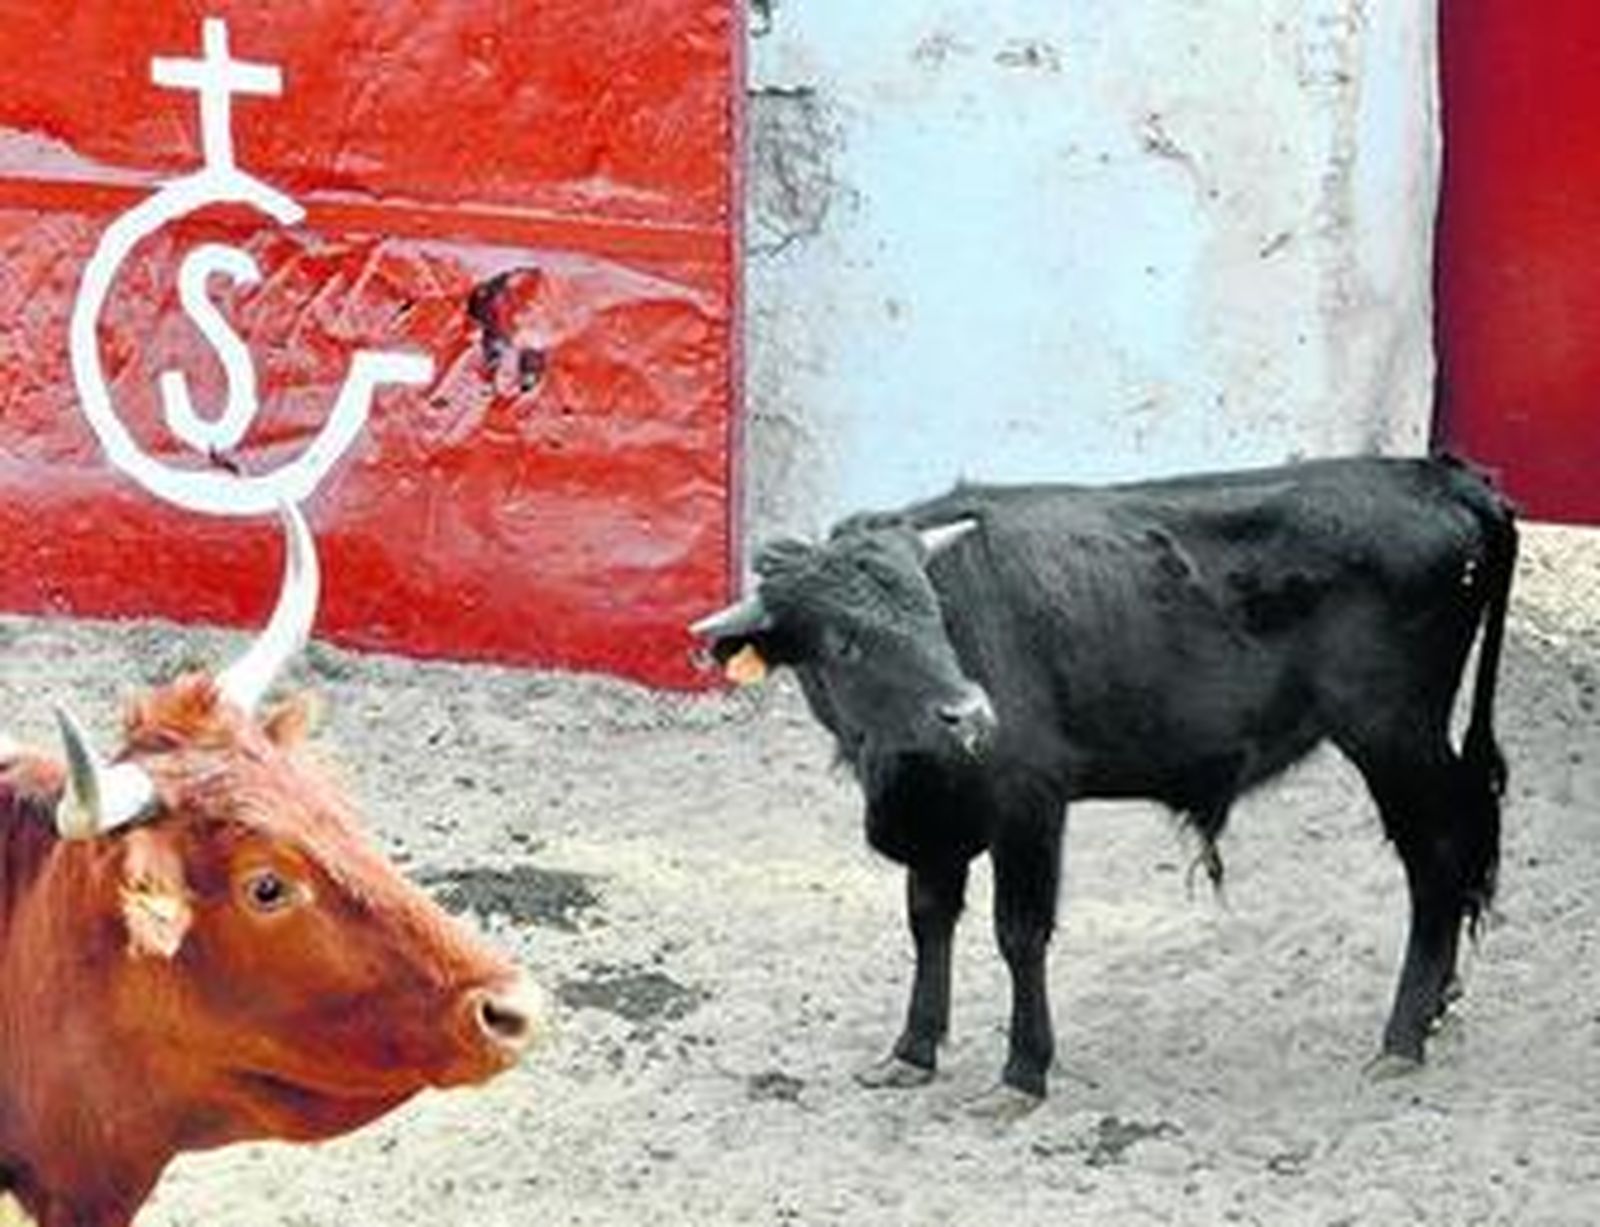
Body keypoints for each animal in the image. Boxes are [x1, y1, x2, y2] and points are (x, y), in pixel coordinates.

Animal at [691, 456, 1517, 1116]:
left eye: (931, 610)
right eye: (844, 640)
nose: (970, 714)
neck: (897, 766)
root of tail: (1439, 474)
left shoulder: (1030, 802)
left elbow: (1019, 932)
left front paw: (1022, 1072)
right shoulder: (936, 814)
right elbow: (928, 918)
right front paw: (912, 1050)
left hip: (1392, 735)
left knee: (1439, 858)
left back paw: (1404, 1033)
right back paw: (1435, 1007)